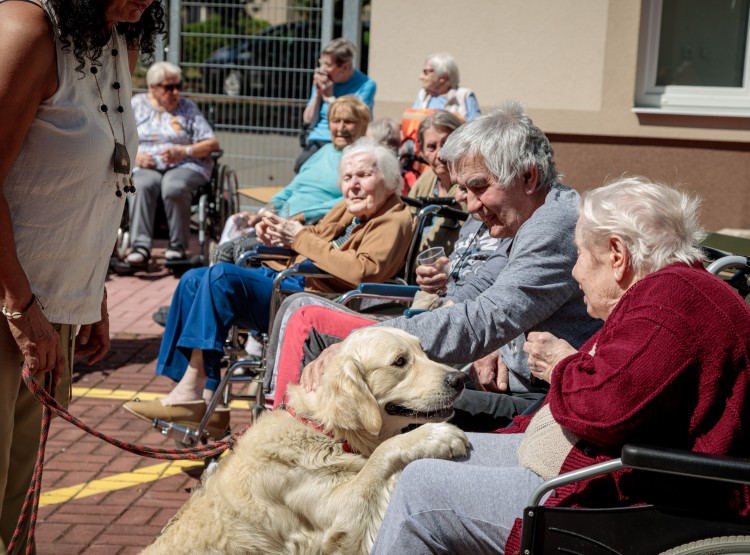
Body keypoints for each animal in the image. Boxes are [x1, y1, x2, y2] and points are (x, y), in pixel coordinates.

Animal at [143, 328, 468, 552]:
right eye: (400, 362)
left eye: (423, 351)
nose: (460, 379)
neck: (325, 431)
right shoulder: (340, 515)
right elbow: (380, 457)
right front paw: (437, 436)